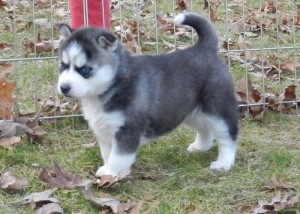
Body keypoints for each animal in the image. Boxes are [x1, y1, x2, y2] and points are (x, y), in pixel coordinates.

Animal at [56, 12, 239, 176]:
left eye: (85, 70)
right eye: (63, 65)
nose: (63, 87)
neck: (114, 84)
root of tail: (204, 48)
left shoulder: (127, 130)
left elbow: (117, 157)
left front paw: (110, 173)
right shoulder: (104, 131)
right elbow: (107, 154)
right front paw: (109, 170)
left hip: (218, 108)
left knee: (228, 136)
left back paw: (223, 163)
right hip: (189, 111)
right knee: (205, 128)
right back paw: (200, 147)